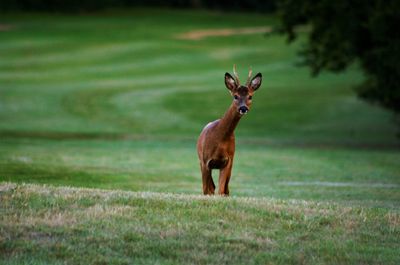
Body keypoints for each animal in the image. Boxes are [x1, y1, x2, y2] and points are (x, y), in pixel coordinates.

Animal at [197, 65, 262, 195]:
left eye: (250, 96)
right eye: (235, 96)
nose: (243, 108)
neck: (220, 139)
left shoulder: (228, 161)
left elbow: (222, 190)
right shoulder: (206, 161)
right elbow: (207, 190)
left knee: (224, 189)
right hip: (201, 161)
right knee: (209, 188)